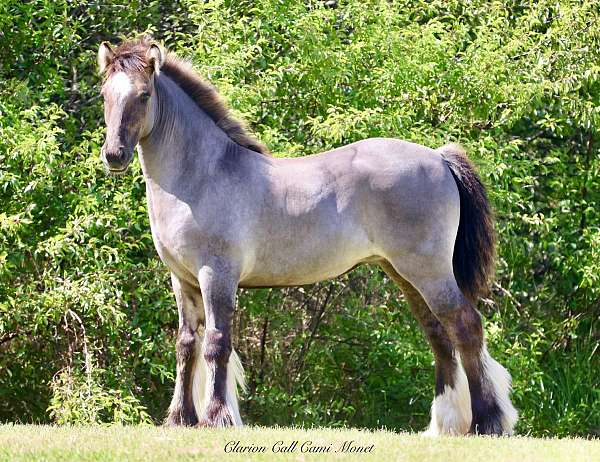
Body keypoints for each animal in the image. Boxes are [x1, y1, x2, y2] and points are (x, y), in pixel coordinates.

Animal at [97, 38, 516, 434]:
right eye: (104, 94)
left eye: (144, 95)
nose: (114, 155)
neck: (203, 174)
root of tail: (439, 158)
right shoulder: (182, 279)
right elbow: (187, 345)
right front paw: (179, 418)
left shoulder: (216, 275)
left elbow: (216, 343)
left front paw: (216, 417)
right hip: (404, 273)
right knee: (439, 335)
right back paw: (444, 425)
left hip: (429, 272)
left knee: (465, 327)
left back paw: (487, 422)